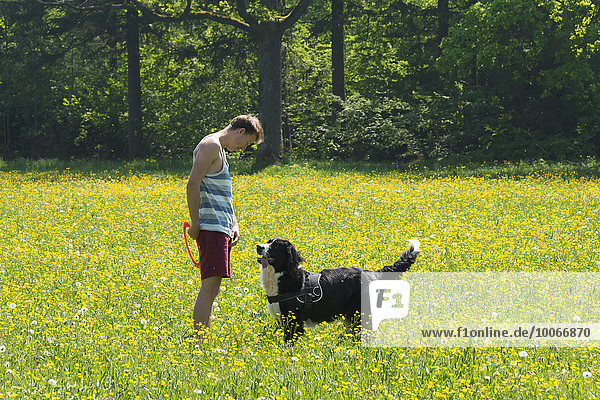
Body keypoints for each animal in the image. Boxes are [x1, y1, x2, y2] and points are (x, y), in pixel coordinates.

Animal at [258, 238, 422, 344]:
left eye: (275, 245)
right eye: (268, 241)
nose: (258, 246)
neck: (285, 276)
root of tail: (373, 273)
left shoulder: (294, 322)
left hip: (360, 316)